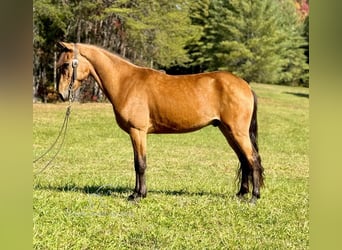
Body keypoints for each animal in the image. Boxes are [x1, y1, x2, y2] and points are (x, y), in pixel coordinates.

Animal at [56, 42, 264, 204]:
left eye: (66, 64)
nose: (61, 94)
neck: (126, 82)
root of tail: (245, 85)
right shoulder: (136, 133)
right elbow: (137, 163)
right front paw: (137, 193)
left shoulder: (138, 131)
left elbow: (140, 163)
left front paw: (138, 196)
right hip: (228, 132)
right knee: (244, 160)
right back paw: (241, 194)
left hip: (237, 132)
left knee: (252, 159)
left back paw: (254, 197)